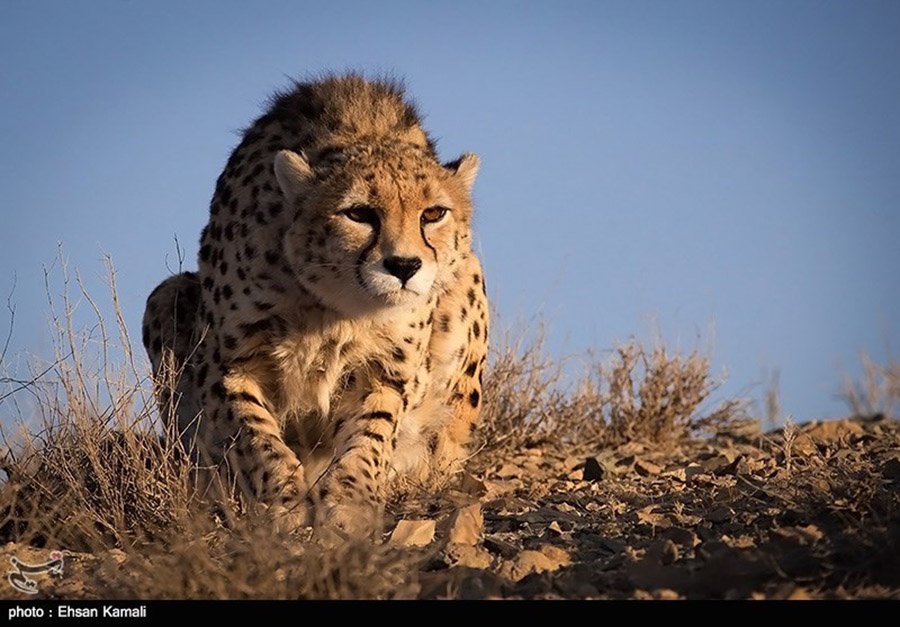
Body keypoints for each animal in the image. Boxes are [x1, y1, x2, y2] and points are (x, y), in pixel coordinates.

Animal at [142, 74, 488, 535]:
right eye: (359, 213)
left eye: (433, 214)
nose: (404, 266)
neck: (336, 306)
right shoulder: (228, 366)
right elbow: (253, 433)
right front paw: (282, 498)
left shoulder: (385, 371)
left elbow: (370, 434)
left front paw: (352, 500)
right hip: (168, 295)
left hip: (468, 280)